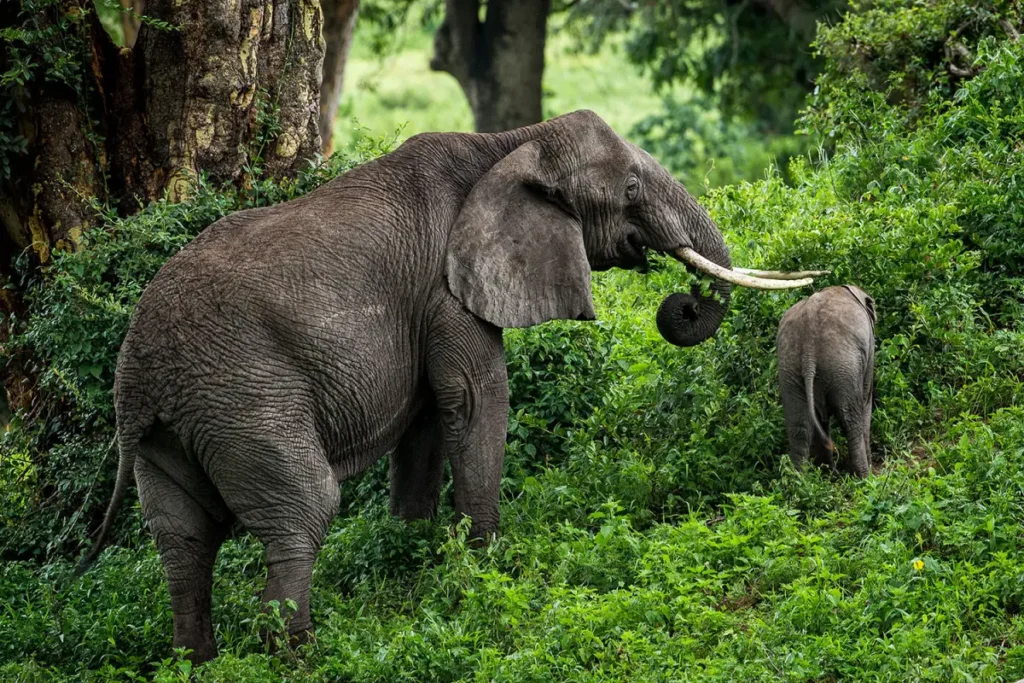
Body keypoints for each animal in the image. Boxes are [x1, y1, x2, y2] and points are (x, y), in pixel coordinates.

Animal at [77, 110, 819, 663]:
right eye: (631, 189)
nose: (683, 303)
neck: (509, 144)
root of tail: (138, 373)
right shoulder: (447, 288)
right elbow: (476, 398)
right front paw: (489, 569)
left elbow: (429, 422)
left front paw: (416, 561)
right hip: (243, 396)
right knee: (303, 510)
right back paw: (299, 656)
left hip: (178, 423)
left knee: (183, 539)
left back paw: (195, 661)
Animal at [776, 284, 877, 477]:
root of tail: (808, 349)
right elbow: (866, 400)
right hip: (843, 365)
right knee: (850, 420)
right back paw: (864, 477)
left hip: (789, 371)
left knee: (799, 427)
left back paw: (805, 480)